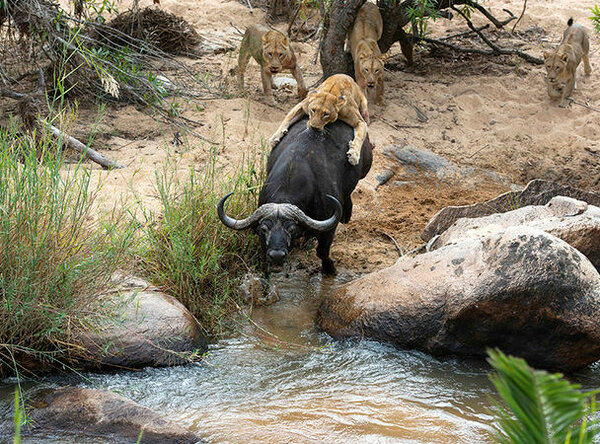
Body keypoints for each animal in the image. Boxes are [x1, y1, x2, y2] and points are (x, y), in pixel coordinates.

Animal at [218, 116, 372, 272]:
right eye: (264, 229)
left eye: (291, 229)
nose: (277, 255)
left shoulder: (329, 228)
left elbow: (322, 251)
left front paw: (330, 269)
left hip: (366, 167)